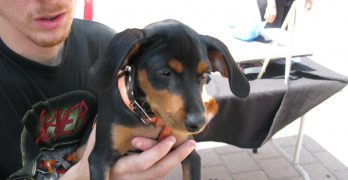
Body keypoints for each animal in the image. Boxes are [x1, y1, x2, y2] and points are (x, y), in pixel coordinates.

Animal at [88, 19, 249, 179]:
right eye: (165, 73)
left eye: (205, 75)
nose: (197, 124)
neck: (149, 118)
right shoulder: (100, 158)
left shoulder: (190, 154)